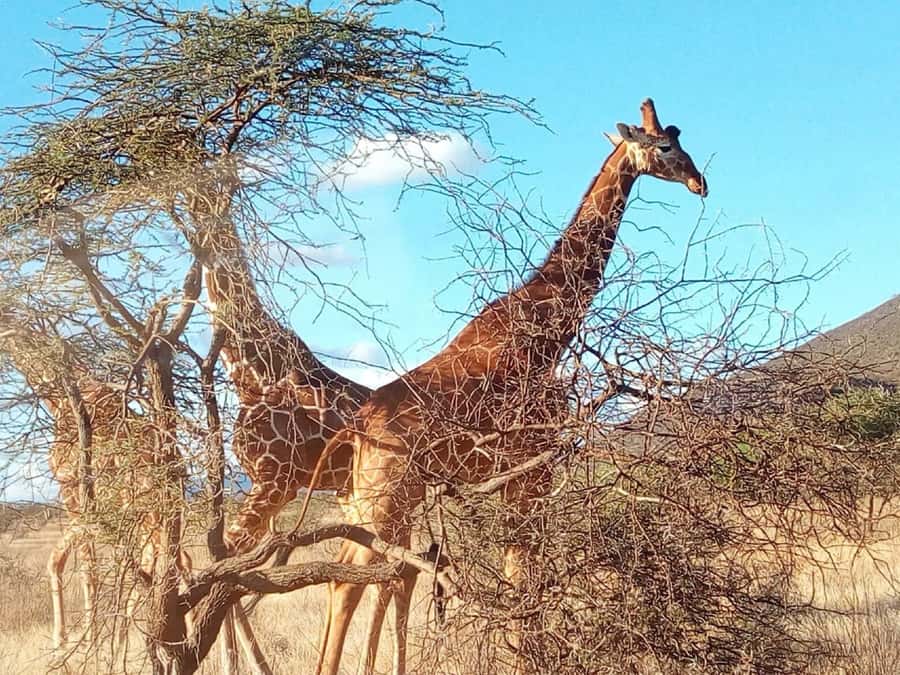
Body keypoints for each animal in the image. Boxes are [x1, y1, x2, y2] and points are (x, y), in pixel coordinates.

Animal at [0, 319, 191, 652]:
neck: (58, 396)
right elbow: (66, 561)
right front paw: (79, 638)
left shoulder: (72, 491)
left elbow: (78, 566)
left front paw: (75, 640)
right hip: (154, 514)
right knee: (176, 564)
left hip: (146, 510)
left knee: (171, 566)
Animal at [297, 99, 709, 675]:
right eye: (666, 146)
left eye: (682, 137)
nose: (701, 182)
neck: (548, 334)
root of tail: (356, 428)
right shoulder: (531, 473)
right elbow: (522, 587)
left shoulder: (516, 481)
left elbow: (520, 585)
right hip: (389, 497)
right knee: (353, 581)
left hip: (369, 498)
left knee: (355, 576)